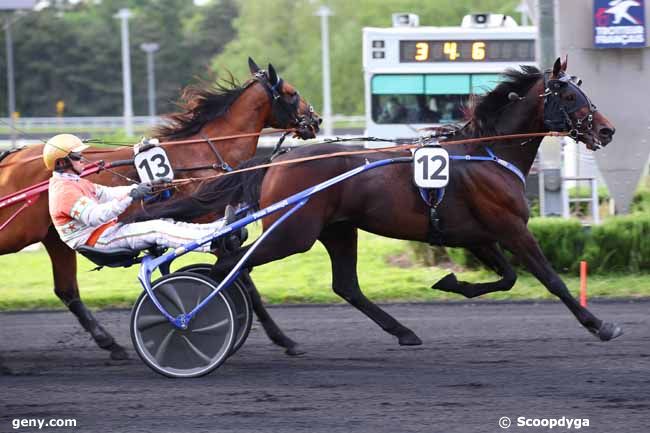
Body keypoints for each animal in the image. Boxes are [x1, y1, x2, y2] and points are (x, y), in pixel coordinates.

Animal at [0, 58, 318, 362]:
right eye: (292, 93)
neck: (204, 154)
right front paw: (283, 339)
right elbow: (242, 277)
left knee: (67, 291)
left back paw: (111, 344)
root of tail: (11, 158)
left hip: (54, 238)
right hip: (19, 232)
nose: (316, 120)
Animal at [139, 56, 620, 348]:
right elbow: (551, 280)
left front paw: (451, 283)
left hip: (337, 230)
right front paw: (599, 324)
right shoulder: (512, 229)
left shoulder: (479, 235)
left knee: (343, 285)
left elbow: (506, 278)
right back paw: (201, 322)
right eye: (572, 96)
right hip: (294, 233)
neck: (487, 151)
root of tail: (276, 160)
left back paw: (399, 331)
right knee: (230, 266)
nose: (608, 129)